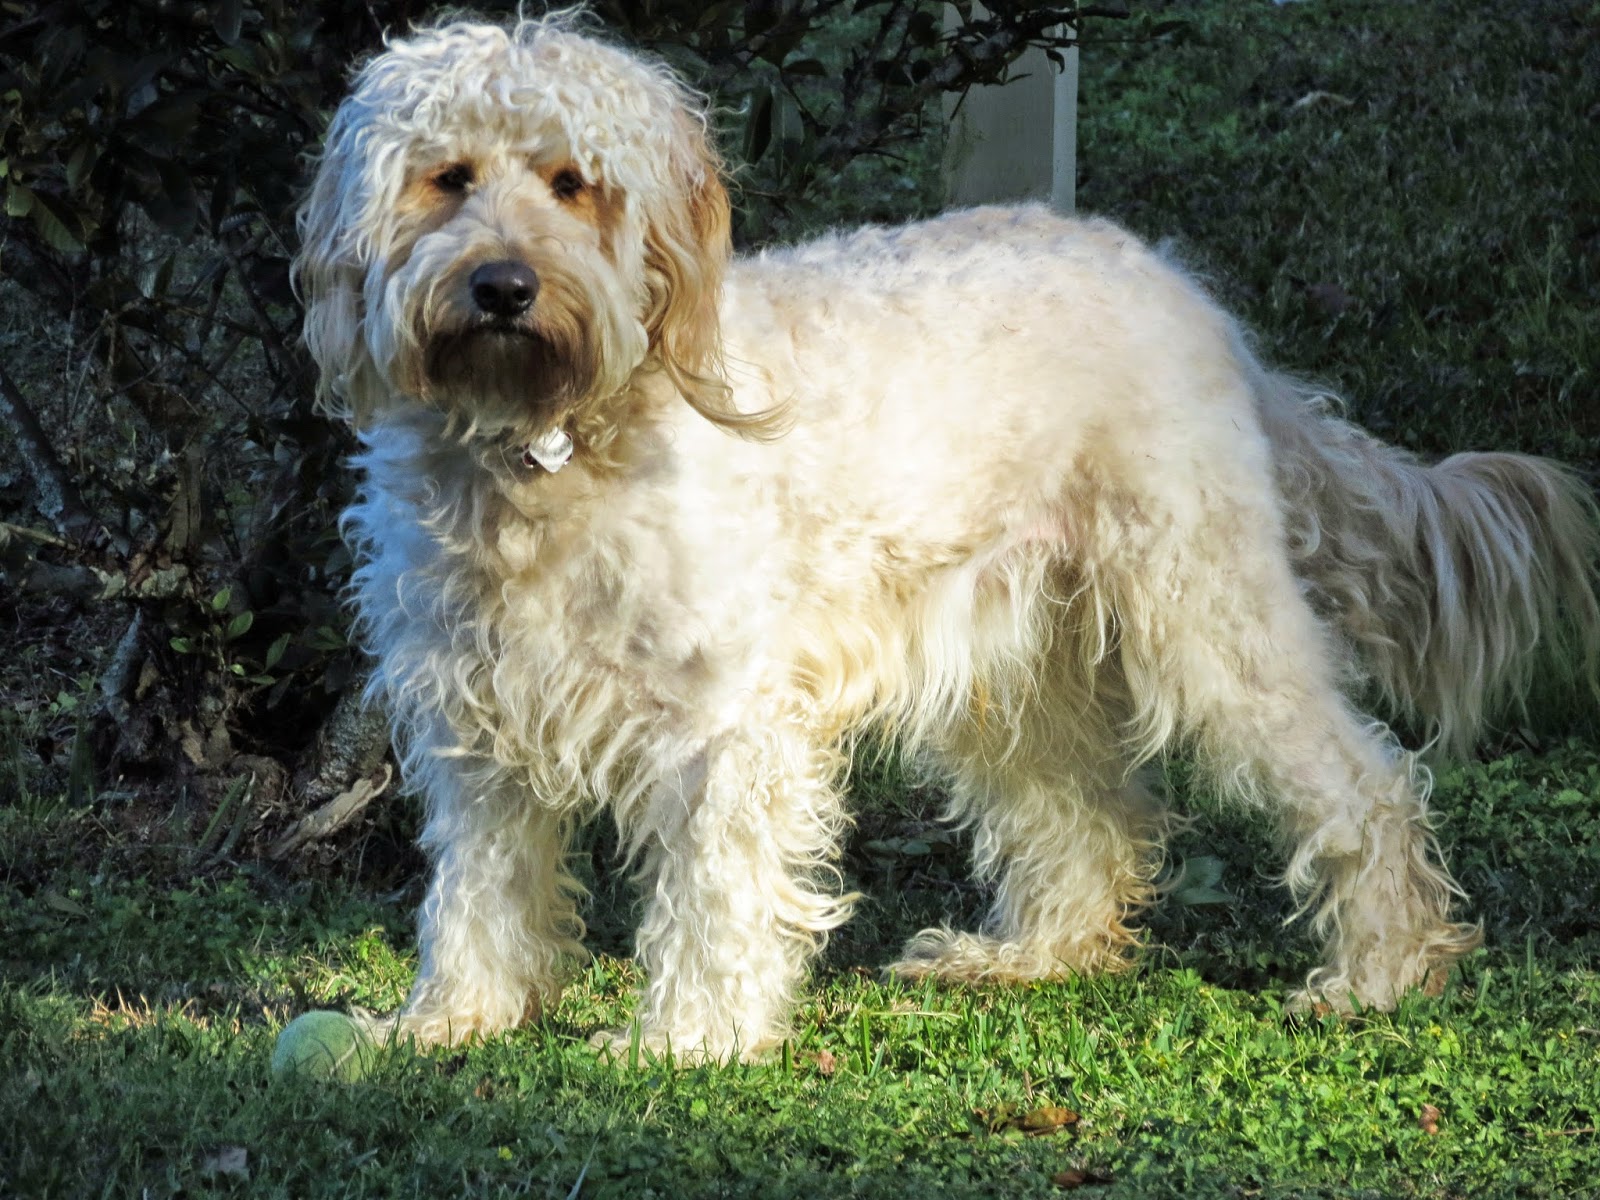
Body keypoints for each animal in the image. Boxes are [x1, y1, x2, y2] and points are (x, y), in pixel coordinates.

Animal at [295, 14, 1600, 1061]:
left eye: (575, 183)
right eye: (446, 178)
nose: (503, 286)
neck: (550, 446)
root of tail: (1185, 290)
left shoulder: (724, 725)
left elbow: (712, 889)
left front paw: (687, 1043)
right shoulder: (475, 717)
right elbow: (480, 890)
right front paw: (452, 1020)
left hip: (1207, 623)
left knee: (1362, 781)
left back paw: (1378, 972)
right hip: (1016, 674)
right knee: (1089, 819)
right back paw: (1029, 957)